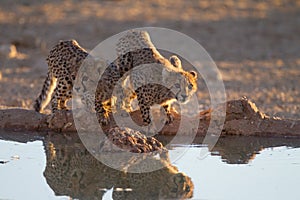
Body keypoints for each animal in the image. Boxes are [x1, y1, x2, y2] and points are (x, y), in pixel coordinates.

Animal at [35, 29, 198, 128]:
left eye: (190, 86)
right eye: (177, 85)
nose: (184, 95)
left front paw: (168, 113)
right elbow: (143, 111)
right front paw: (148, 125)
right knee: (56, 94)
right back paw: (56, 113)